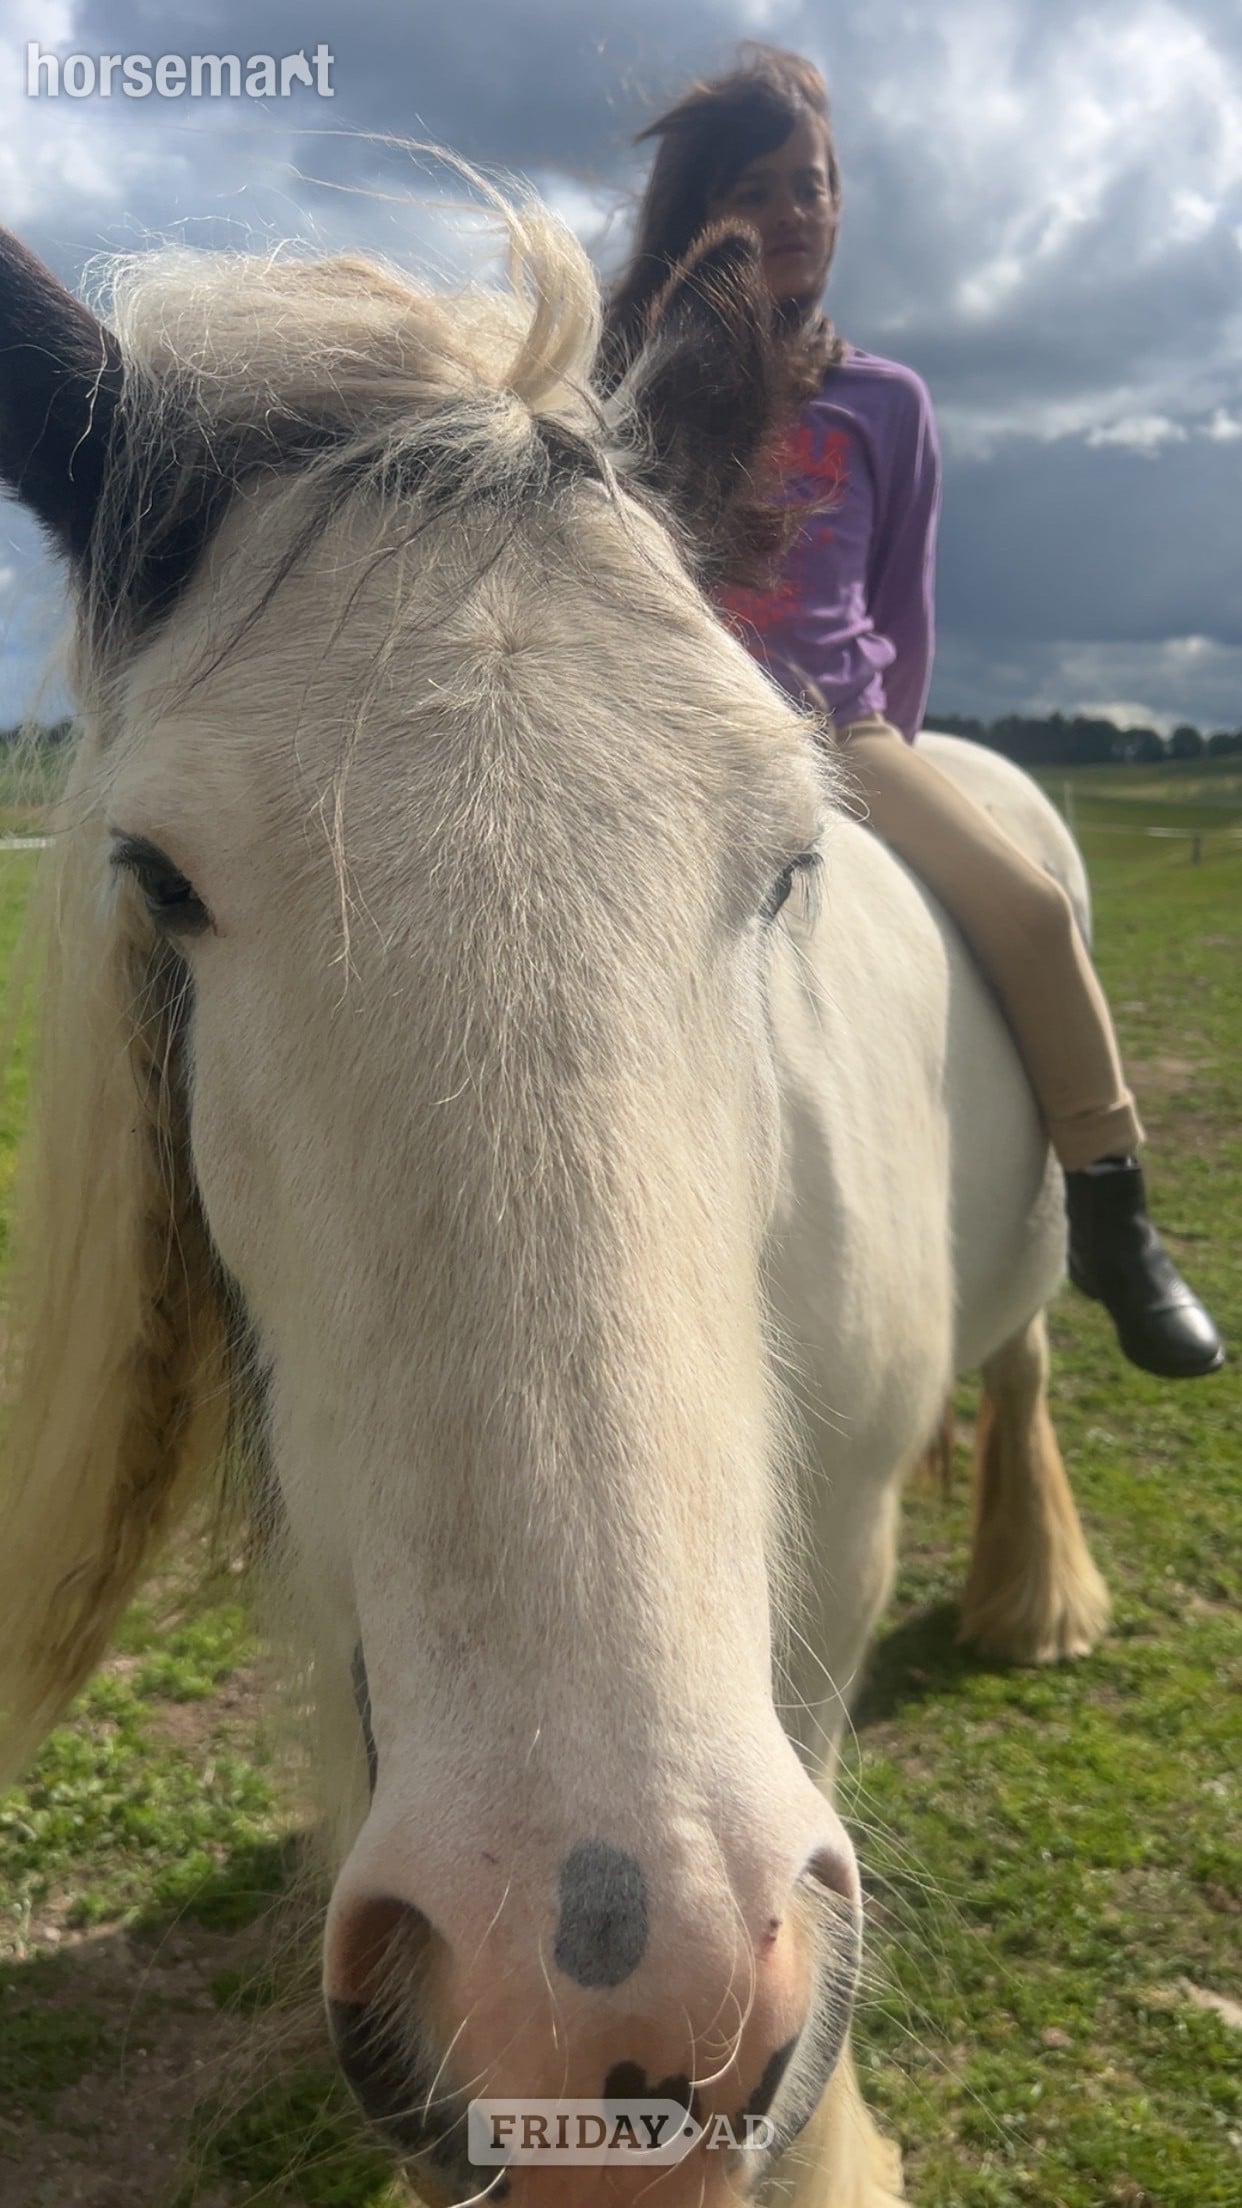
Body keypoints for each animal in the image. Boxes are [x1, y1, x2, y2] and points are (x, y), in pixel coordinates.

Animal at [0, 191, 1109, 2208]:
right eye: (156, 872)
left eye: (786, 856)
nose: (618, 1998)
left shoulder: (829, 1563)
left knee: (1028, 1362)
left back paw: (1031, 1596)